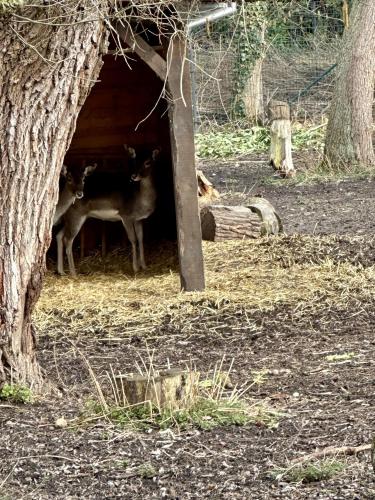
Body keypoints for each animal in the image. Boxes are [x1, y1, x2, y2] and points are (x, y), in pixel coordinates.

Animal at [56, 145, 159, 278]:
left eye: (148, 162)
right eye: (135, 161)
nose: (134, 176)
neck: (141, 202)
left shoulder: (138, 219)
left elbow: (141, 239)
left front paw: (144, 266)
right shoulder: (126, 215)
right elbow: (133, 239)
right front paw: (136, 268)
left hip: (68, 218)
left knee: (59, 236)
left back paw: (61, 271)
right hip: (76, 215)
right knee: (67, 239)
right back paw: (73, 273)